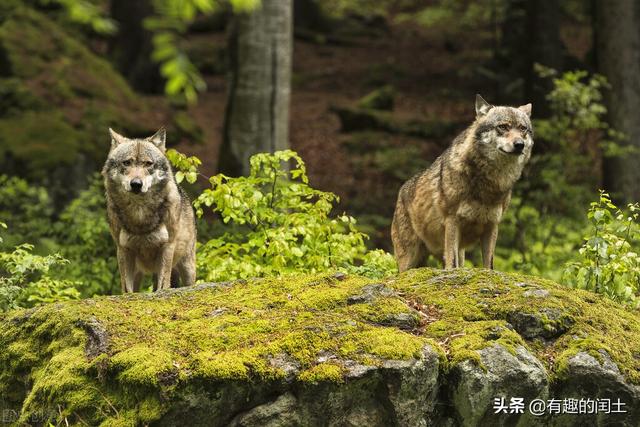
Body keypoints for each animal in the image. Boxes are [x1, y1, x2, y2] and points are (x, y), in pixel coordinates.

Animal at [101, 129, 196, 292]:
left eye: (148, 164)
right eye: (127, 162)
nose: (136, 184)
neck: (139, 213)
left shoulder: (167, 246)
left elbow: (163, 285)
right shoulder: (123, 249)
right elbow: (127, 289)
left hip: (187, 267)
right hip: (139, 272)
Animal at [390, 95, 536, 272]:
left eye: (522, 128)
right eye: (503, 127)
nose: (519, 144)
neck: (489, 183)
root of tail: (401, 191)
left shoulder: (492, 225)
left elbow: (489, 265)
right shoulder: (452, 221)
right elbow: (452, 266)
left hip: (458, 252)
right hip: (410, 260)